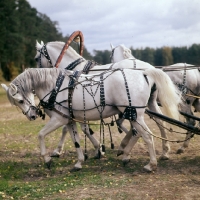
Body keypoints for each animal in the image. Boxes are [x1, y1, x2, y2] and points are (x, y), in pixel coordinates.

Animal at [0, 64, 180, 172]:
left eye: (20, 100)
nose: (32, 115)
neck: (55, 86)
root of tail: (143, 72)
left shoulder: (58, 119)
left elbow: (41, 135)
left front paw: (47, 159)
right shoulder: (69, 120)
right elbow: (76, 141)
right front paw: (79, 162)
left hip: (134, 114)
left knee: (147, 135)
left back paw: (150, 164)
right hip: (135, 114)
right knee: (142, 131)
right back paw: (127, 154)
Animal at [34, 41, 181, 161]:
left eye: (36, 58)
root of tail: (148, 69)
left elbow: (72, 128)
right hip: (150, 103)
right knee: (160, 122)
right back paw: (164, 151)